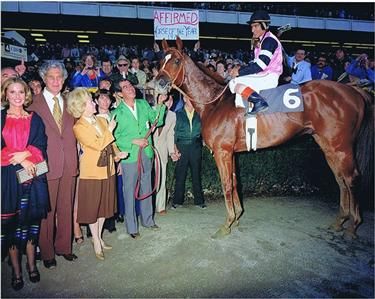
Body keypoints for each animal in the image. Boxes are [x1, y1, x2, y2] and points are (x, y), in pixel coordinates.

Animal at [155, 37, 374, 239]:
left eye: (176, 61)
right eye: (160, 61)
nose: (158, 83)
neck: (215, 103)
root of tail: (353, 90)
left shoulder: (222, 152)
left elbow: (227, 184)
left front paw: (227, 223)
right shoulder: (231, 153)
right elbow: (235, 182)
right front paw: (237, 217)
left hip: (341, 146)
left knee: (351, 178)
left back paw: (353, 226)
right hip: (328, 146)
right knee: (340, 179)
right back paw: (339, 221)